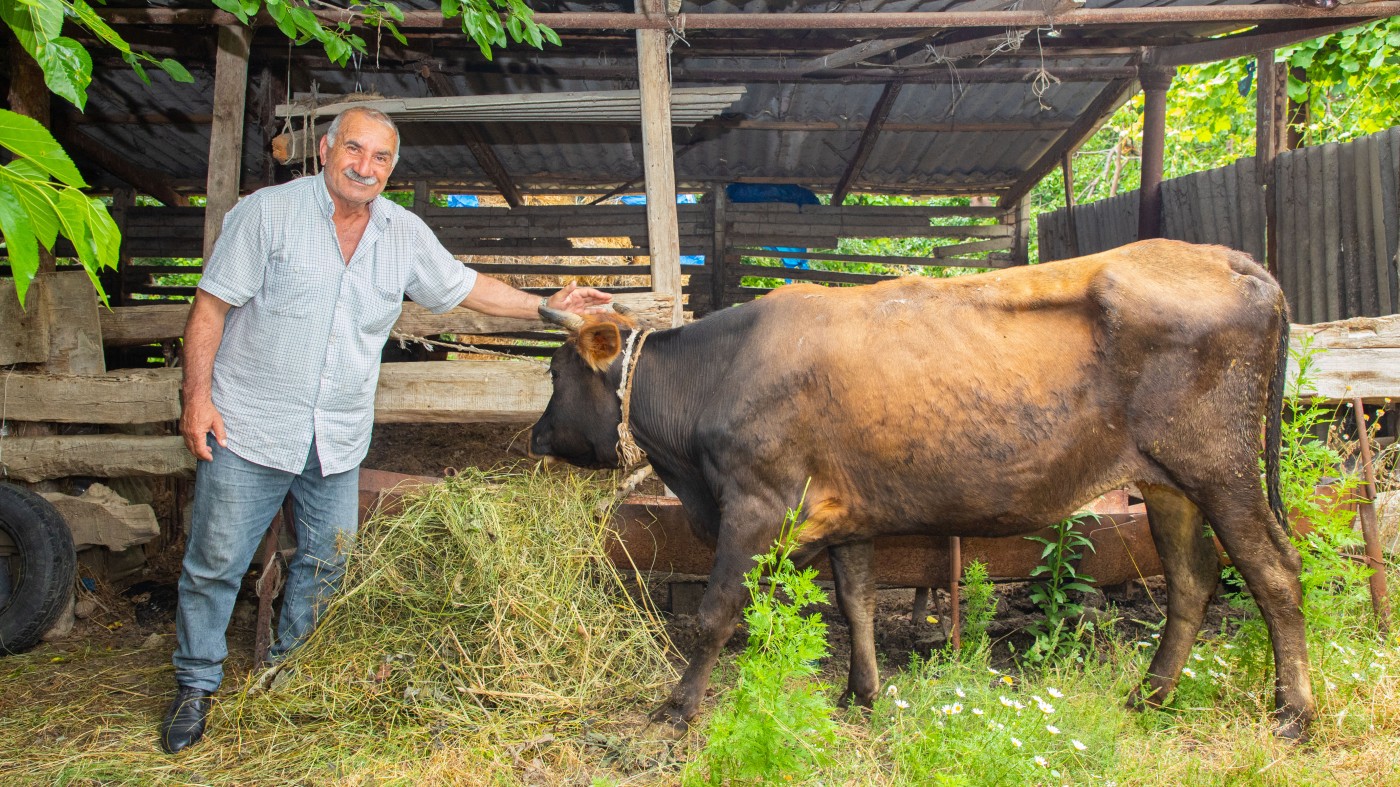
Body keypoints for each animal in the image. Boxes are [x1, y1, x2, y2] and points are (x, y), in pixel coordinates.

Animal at [526, 238, 1310, 733]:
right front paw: (862, 694)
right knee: (1193, 578)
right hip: (1170, 484)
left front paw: (678, 707)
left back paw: (1293, 711)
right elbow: (858, 603)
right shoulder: (846, 513)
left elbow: (717, 610)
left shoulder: (755, 504)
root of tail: (1226, 257)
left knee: (1273, 570)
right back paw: (1150, 695)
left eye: (555, 372)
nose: (535, 437)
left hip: (1222, 468)